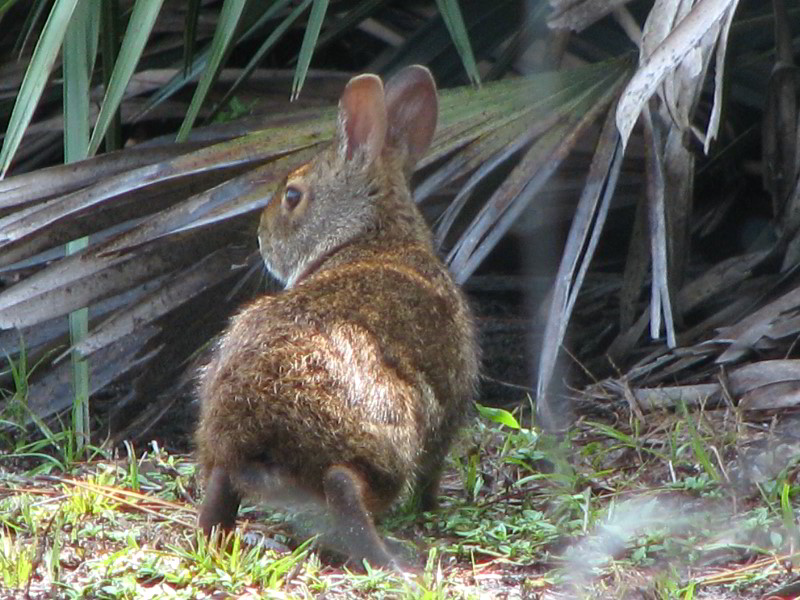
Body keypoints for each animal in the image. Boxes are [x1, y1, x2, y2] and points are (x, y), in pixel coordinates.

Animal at [195, 64, 478, 568]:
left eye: (292, 196)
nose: (262, 241)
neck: (371, 234)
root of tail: (256, 432)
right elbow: (433, 469)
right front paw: (432, 507)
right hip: (392, 432)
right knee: (347, 485)